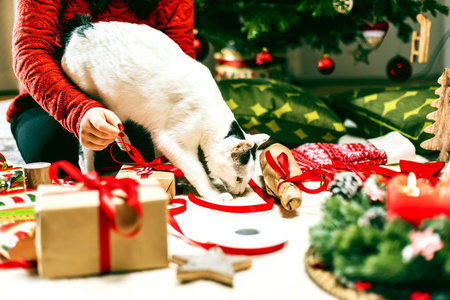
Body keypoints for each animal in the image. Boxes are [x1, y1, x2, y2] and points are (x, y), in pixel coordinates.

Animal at [61, 18, 268, 202]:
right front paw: (213, 193)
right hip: (89, 96)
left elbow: (161, 156)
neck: (211, 115)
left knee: (115, 122)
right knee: (85, 148)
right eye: (239, 178)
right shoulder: (173, 141)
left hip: (115, 103)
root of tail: (81, 27)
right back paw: (91, 179)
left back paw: (123, 141)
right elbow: (197, 171)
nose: (240, 193)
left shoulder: (159, 135)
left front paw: (165, 170)